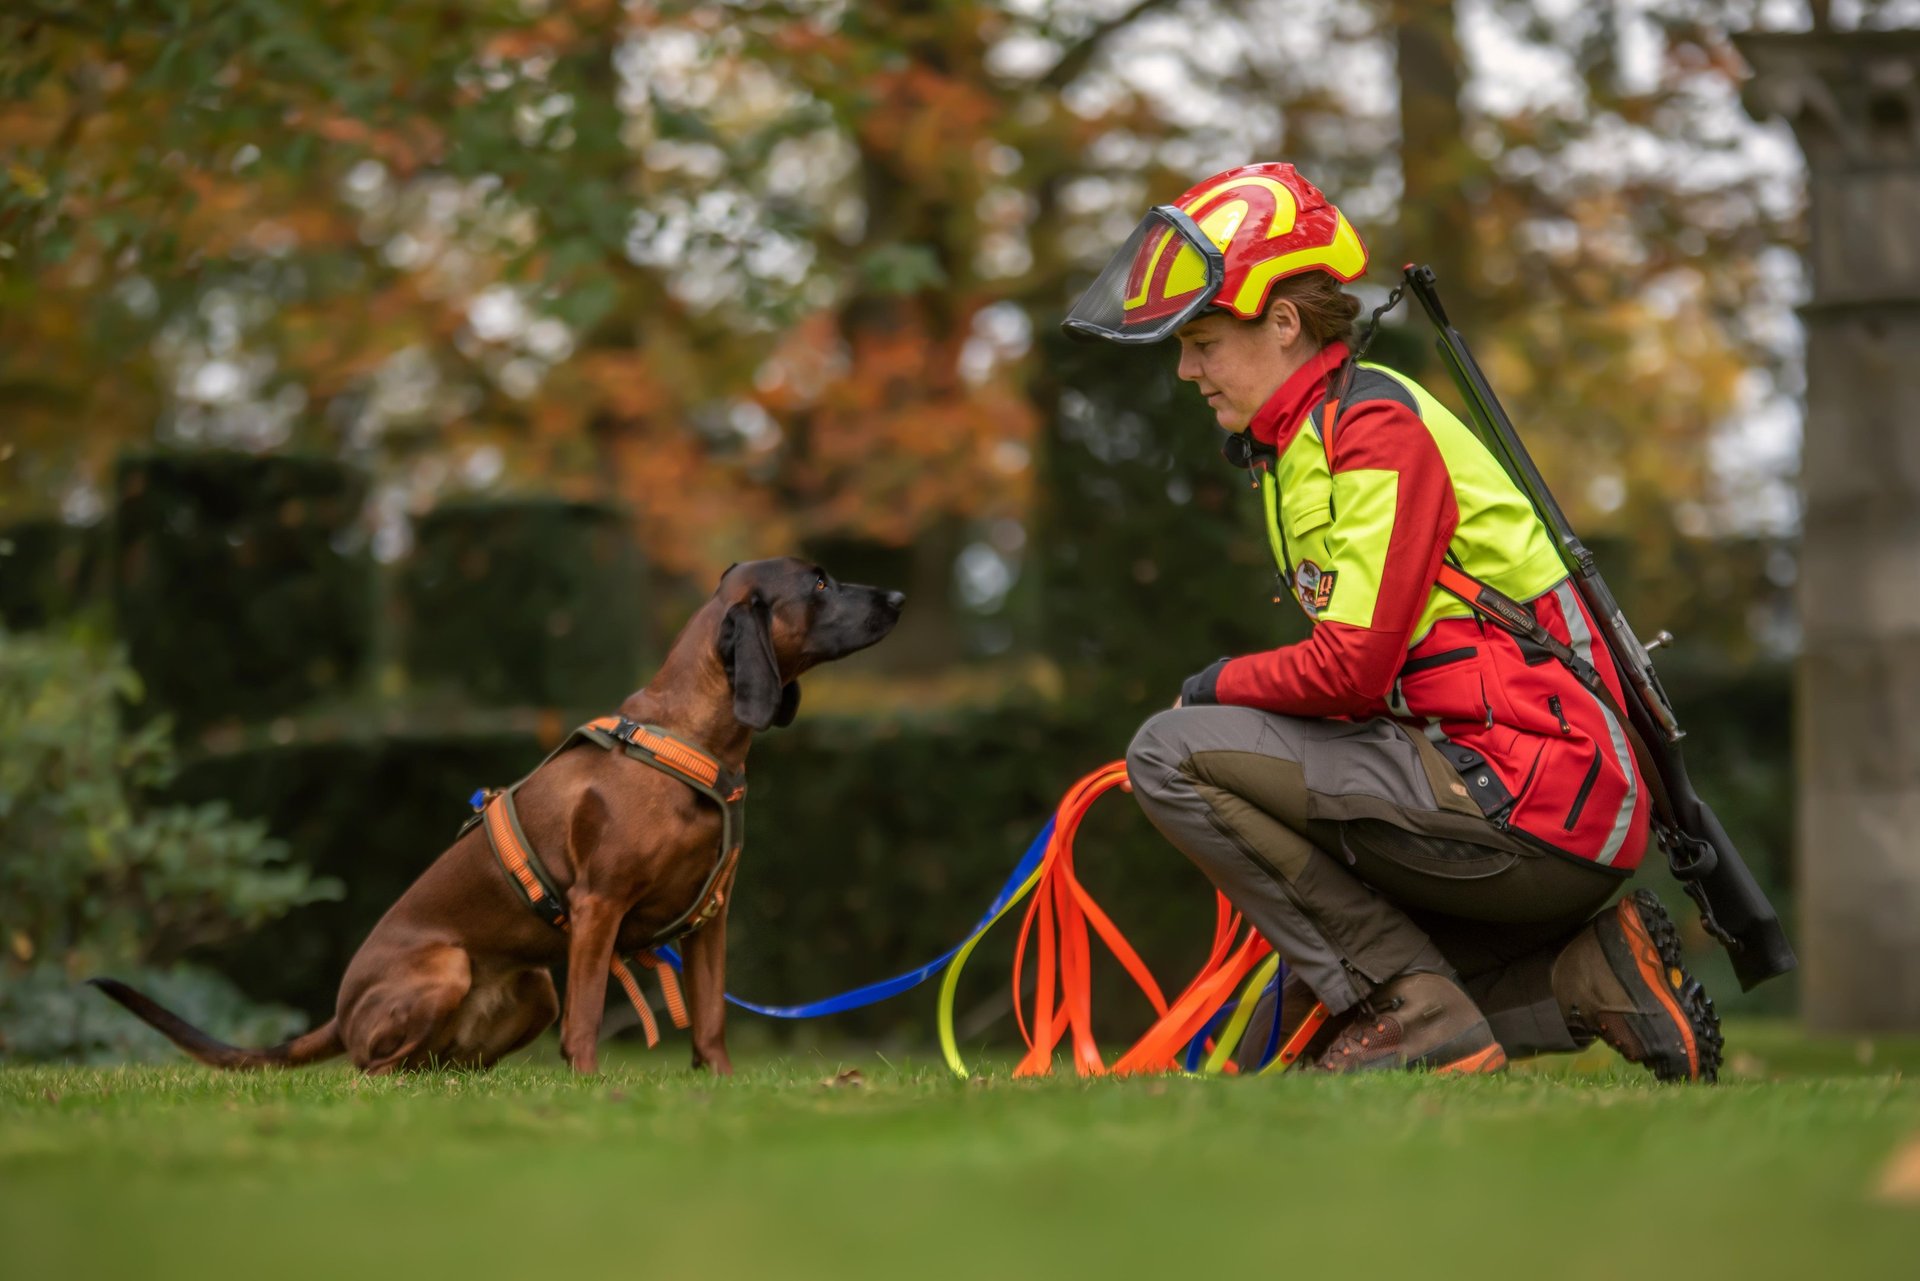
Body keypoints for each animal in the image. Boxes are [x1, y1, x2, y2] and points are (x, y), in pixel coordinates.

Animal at [101, 560, 910, 1075]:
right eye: (819, 581)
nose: (901, 596)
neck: (690, 740)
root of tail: (340, 1005)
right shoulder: (598, 907)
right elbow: (586, 1021)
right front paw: (590, 1094)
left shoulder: (711, 916)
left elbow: (709, 1022)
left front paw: (719, 1092)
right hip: (446, 969)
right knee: (367, 1070)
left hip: (530, 988)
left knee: (439, 1067)